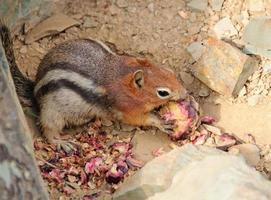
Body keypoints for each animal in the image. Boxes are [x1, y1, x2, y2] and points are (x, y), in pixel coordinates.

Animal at [0, 20, 187, 152]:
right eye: (163, 92)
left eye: (170, 71)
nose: (186, 94)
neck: (123, 74)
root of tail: (34, 88)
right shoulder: (125, 109)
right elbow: (140, 119)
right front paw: (160, 122)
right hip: (52, 111)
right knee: (48, 128)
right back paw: (61, 142)